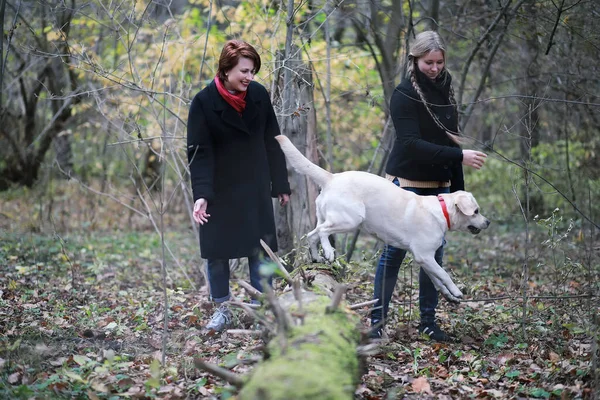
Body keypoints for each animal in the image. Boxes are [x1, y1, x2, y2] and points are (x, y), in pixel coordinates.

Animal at [278, 134, 490, 300]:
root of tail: (332, 177)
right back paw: (329, 252)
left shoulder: (426, 260)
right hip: (350, 219)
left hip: (327, 217)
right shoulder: (424, 255)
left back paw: (316, 256)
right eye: (476, 211)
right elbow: (444, 274)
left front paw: (447, 293)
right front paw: (456, 291)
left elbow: (436, 278)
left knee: (311, 235)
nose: (487, 222)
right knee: (322, 232)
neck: (441, 210)